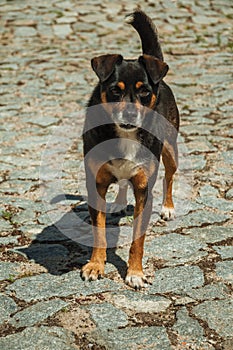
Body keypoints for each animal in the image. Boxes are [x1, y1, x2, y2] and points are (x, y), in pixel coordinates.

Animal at [81, 10, 179, 290]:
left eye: (144, 92)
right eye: (115, 90)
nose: (130, 114)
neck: (124, 135)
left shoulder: (144, 190)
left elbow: (138, 240)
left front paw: (135, 273)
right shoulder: (95, 183)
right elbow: (99, 231)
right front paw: (95, 265)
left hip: (170, 150)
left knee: (169, 177)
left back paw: (168, 207)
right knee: (123, 182)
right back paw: (119, 202)